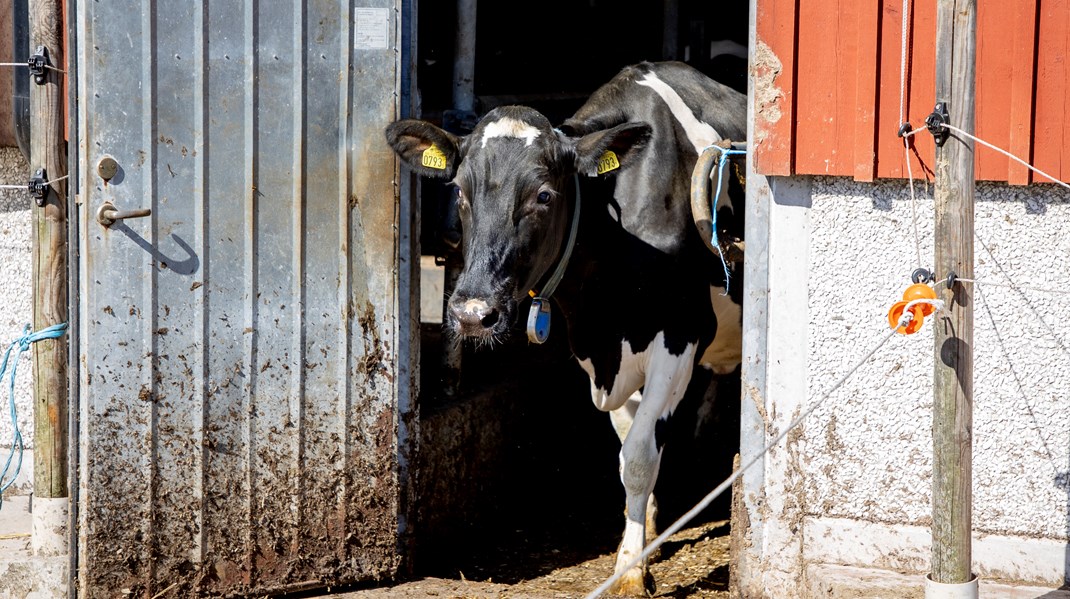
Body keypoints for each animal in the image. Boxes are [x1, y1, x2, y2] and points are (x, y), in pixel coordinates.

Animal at [385, 59, 744, 594]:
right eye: (460, 191)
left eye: (544, 194)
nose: (472, 313)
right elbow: (627, 444)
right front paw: (644, 531)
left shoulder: (681, 332)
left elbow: (640, 455)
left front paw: (630, 571)